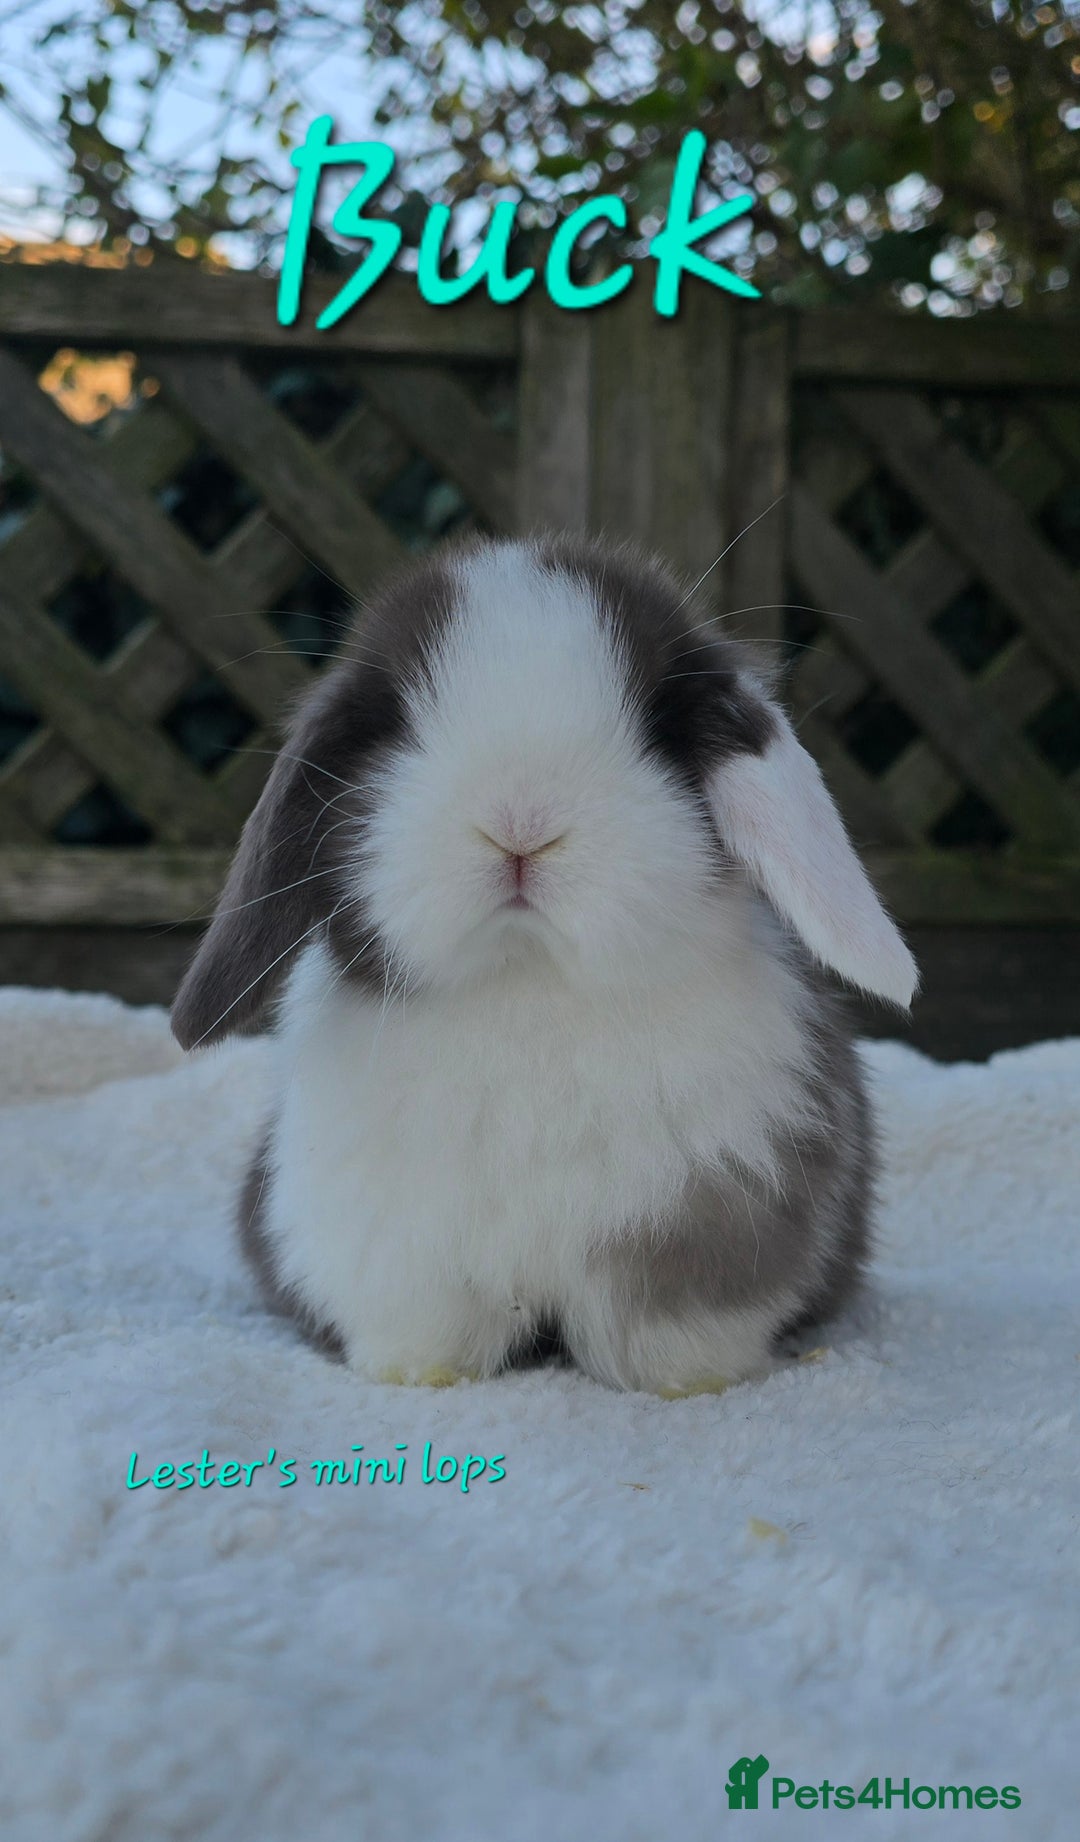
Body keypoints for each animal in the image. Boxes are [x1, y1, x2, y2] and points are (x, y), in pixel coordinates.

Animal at [172, 532, 917, 1394]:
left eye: (656, 727)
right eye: (398, 726)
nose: (521, 822)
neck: (528, 982)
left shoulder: (705, 1222)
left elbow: (671, 1329)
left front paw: (691, 1387)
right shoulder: (395, 1249)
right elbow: (426, 1327)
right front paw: (415, 1377)